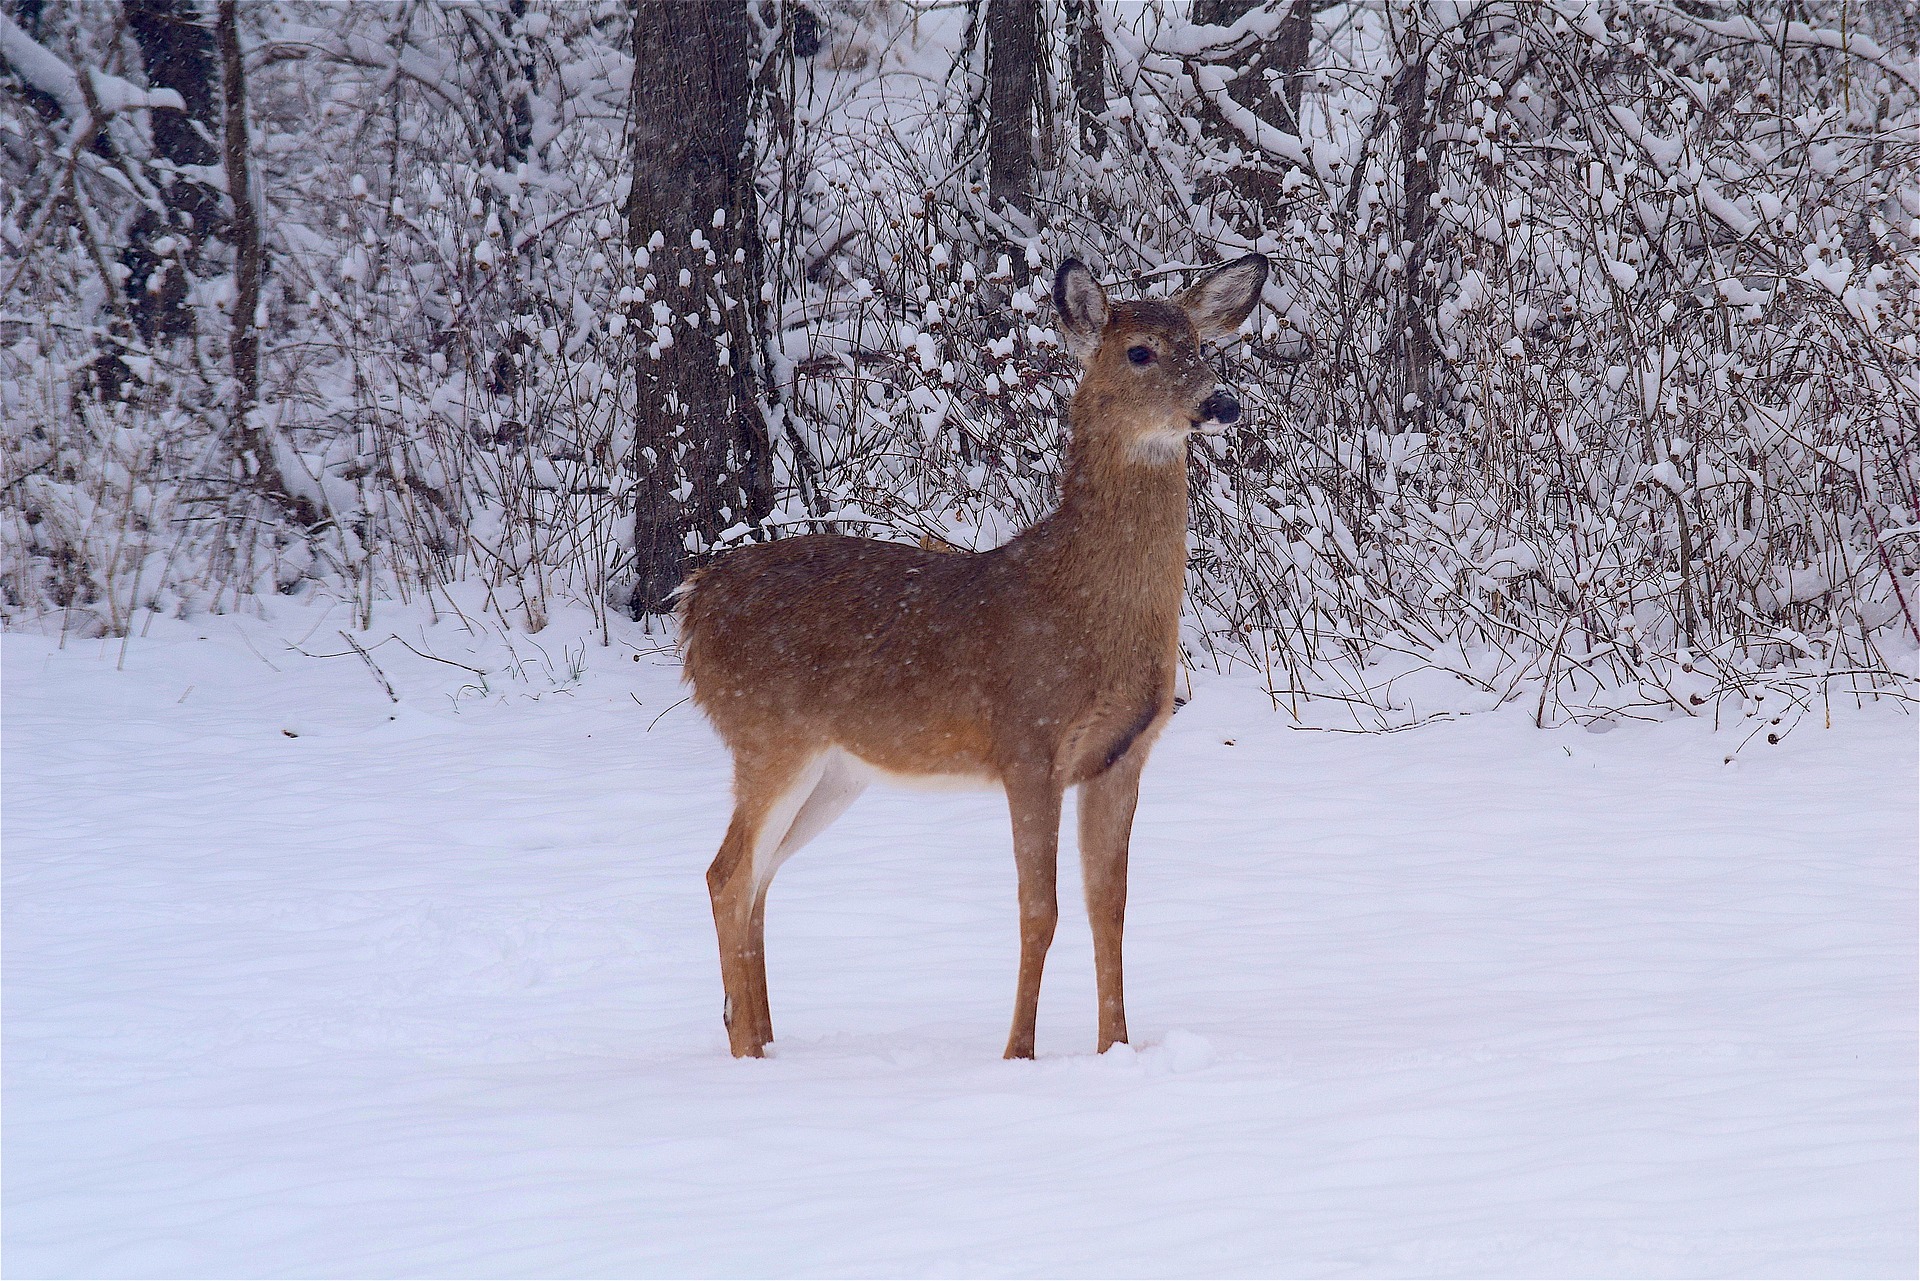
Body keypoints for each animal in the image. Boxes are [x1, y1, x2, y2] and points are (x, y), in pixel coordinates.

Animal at [678, 253, 1269, 1059]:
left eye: (1202, 346)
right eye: (1140, 351)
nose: (1222, 402)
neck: (1083, 607)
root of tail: (694, 602)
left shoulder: (1123, 753)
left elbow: (1109, 907)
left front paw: (1116, 1049)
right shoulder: (1028, 741)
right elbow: (1040, 909)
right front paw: (1017, 1053)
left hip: (834, 770)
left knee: (760, 877)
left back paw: (765, 1039)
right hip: (769, 735)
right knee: (727, 875)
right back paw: (746, 1055)